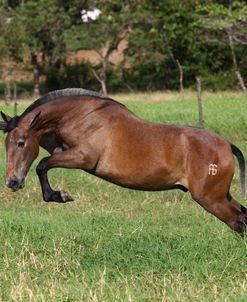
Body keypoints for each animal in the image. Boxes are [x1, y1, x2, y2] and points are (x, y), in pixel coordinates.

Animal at [0, 88, 246, 235]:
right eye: (5, 144)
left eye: (21, 143)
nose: (12, 182)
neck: (83, 115)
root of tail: (227, 145)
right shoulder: (62, 149)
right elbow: (45, 162)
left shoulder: (83, 158)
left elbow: (42, 164)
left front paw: (59, 196)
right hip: (220, 195)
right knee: (242, 214)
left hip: (210, 198)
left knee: (237, 221)